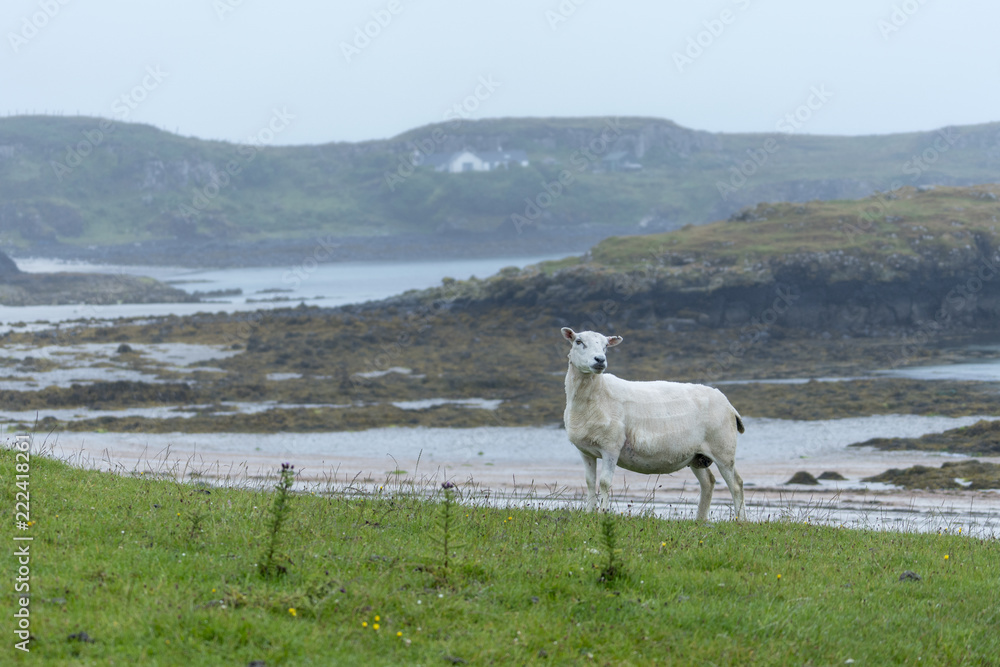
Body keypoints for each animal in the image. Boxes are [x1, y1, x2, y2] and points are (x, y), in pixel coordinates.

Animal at [561, 327, 747, 521]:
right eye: (579, 342)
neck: (596, 394)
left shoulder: (611, 447)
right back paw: (700, 520)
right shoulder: (585, 451)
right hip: (696, 455)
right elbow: (589, 482)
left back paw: (741, 521)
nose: (600, 360)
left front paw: (603, 514)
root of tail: (728, 403)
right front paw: (589, 513)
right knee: (708, 482)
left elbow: (604, 483)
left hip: (723, 449)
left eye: (606, 346)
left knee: (736, 484)